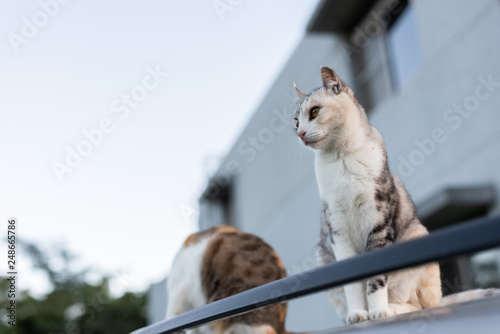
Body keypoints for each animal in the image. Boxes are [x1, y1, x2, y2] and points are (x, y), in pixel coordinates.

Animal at [292, 66, 500, 324]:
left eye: (315, 111)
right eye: (295, 121)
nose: (300, 133)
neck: (341, 160)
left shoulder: (379, 223)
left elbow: (376, 279)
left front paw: (378, 311)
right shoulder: (338, 231)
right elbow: (353, 284)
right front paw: (358, 314)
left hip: (418, 240)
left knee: (420, 305)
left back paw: (391, 308)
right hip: (323, 257)